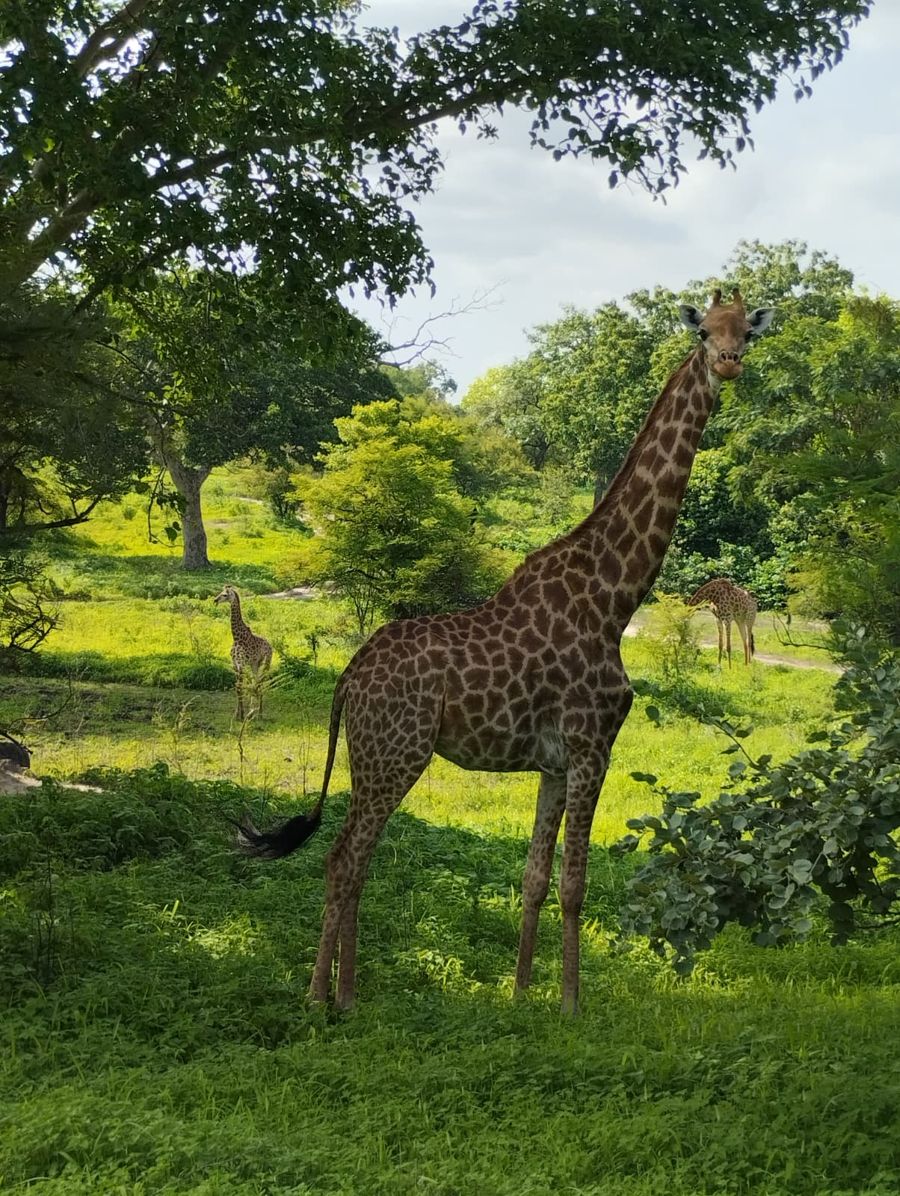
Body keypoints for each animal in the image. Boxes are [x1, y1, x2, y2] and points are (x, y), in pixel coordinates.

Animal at [214, 585, 273, 719]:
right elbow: (238, 687)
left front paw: (241, 714)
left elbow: (240, 687)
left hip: (266, 663)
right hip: (254, 664)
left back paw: (259, 712)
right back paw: (252, 711)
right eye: (220, 592)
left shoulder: (241, 664)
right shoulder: (235, 664)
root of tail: (270, 645)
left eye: (225, 595)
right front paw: (237, 714)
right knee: (255, 682)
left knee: (260, 682)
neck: (237, 638)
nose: (215, 600)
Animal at [235, 288, 776, 1013]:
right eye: (704, 332)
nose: (729, 363)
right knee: (345, 857)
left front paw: (521, 995)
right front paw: (571, 1005)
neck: (613, 597)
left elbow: (534, 879)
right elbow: (575, 885)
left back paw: (349, 993)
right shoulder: (592, 745)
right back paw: (321, 998)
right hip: (395, 755)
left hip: (368, 758)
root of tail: (347, 678)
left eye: (748, 331)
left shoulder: (553, 762)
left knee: (353, 856)